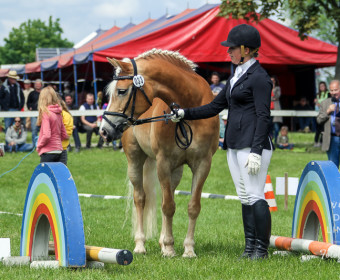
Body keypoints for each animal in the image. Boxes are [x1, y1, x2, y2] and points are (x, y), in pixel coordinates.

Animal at [99, 48, 219, 258]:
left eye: (121, 91)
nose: (104, 130)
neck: (191, 109)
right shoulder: (164, 163)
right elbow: (168, 206)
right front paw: (170, 248)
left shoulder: (203, 164)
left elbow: (192, 206)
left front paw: (188, 249)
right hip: (135, 162)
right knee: (140, 198)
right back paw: (140, 245)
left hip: (176, 171)